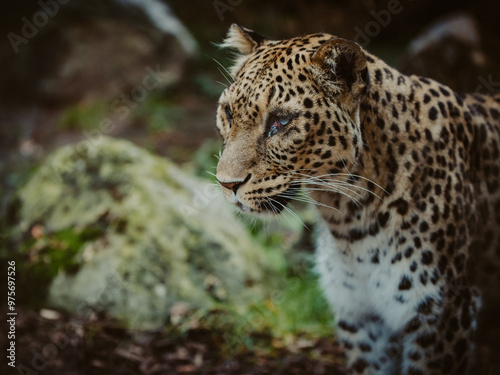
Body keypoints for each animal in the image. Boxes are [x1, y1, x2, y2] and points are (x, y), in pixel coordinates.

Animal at [213, 25, 500, 374]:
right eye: (228, 113)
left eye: (280, 121)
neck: (349, 218)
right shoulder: (358, 318)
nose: (226, 183)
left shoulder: (442, 318)